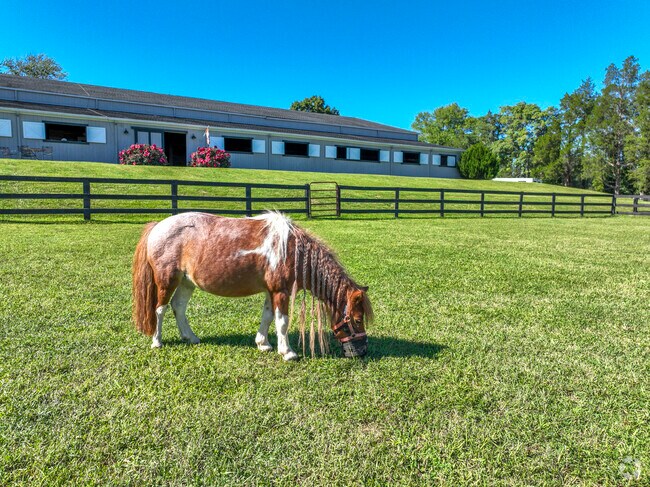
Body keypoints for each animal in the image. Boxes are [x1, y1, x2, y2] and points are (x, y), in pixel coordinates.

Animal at [132, 211, 373, 359]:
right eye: (357, 320)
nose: (362, 351)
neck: (292, 251)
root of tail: (158, 226)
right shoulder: (280, 291)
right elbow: (282, 322)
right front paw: (287, 352)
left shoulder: (271, 291)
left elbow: (267, 317)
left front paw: (263, 343)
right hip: (167, 280)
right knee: (160, 309)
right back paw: (157, 341)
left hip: (186, 282)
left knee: (178, 307)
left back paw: (190, 337)